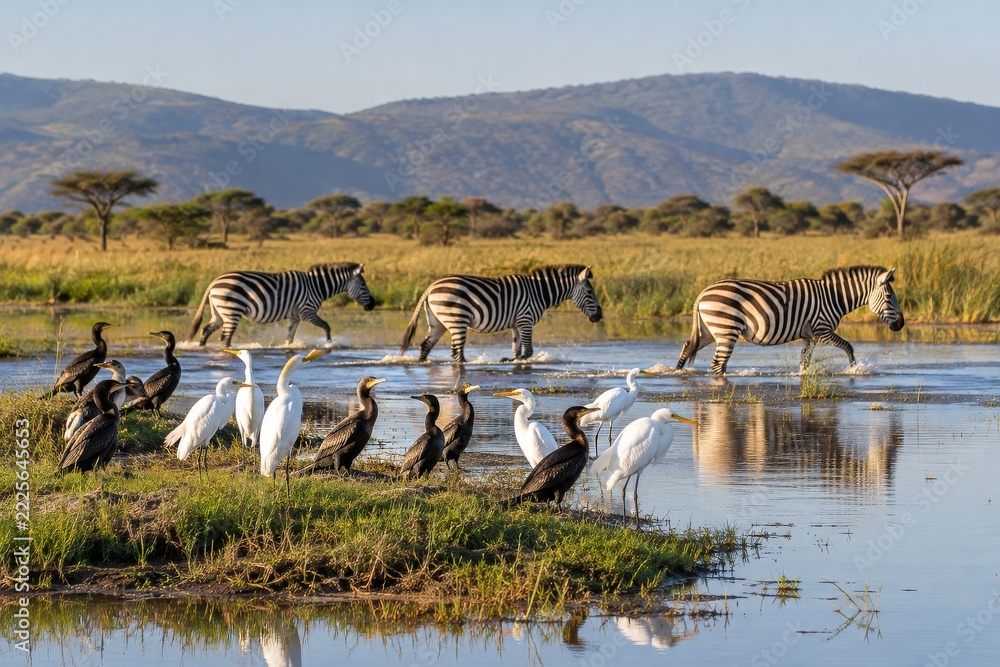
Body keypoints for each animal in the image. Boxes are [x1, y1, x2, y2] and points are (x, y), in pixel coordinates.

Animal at [189, 262, 375, 347]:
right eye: (363, 284)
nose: (373, 305)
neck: (316, 286)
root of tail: (213, 282)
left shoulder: (295, 317)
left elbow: (289, 337)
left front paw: (287, 347)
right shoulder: (307, 311)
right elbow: (326, 326)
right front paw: (329, 343)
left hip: (220, 311)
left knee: (207, 330)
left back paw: (200, 348)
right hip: (232, 309)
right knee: (225, 337)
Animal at [400, 265, 603, 363]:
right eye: (589, 292)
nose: (600, 317)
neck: (539, 292)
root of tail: (431, 286)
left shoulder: (517, 323)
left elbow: (518, 348)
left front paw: (512, 359)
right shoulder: (525, 319)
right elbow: (528, 351)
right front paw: (508, 359)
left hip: (438, 322)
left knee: (426, 345)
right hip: (457, 319)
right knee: (456, 351)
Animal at [675, 265, 904, 374]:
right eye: (888, 297)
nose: (901, 324)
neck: (833, 297)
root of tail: (703, 292)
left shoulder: (810, 336)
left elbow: (804, 361)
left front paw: (803, 376)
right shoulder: (822, 331)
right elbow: (848, 346)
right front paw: (855, 369)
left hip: (710, 330)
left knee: (687, 346)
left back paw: (676, 372)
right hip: (726, 329)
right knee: (718, 363)